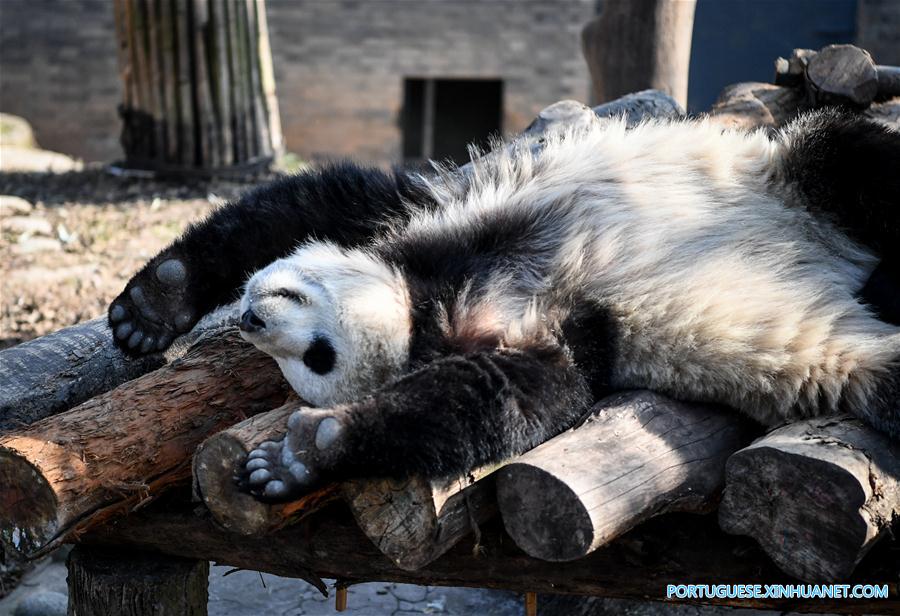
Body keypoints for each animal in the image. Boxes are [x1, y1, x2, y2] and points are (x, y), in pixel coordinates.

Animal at [109, 108, 900, 502]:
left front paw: (302, 454)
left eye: (318, 355)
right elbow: (514, 393)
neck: (431, 300)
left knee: (852, 154)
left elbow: (329, 199)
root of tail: (840, 265)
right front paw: (155, 306)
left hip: (788, 177)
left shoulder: (448, 221)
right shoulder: (555, 325)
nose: (253, 320)